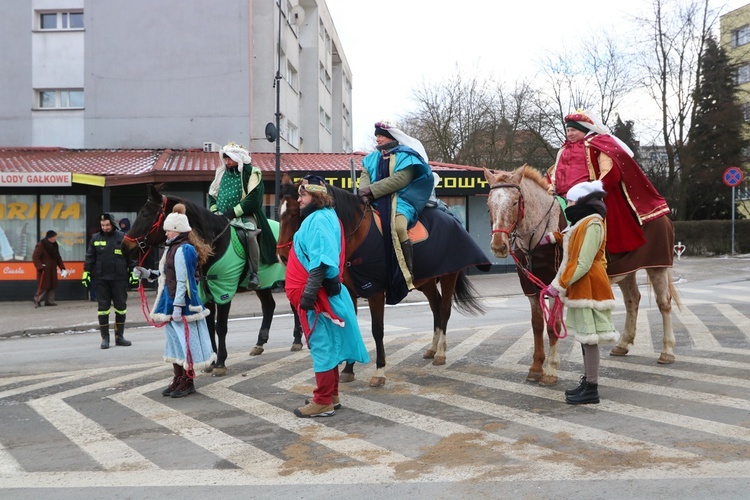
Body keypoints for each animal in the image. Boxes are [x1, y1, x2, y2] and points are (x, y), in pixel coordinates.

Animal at [123, 184, 300, 376]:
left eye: (146, 214)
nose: (124, 247)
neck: (213, 244)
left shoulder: (223, 291)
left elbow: (220, 326)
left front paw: (221, 362)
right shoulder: (206, 293)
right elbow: (209, 326)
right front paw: (211, 361)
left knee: (294, 306)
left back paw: (297, 340)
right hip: (263, 285)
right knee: (269, 306)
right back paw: (259, 343)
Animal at [278, 179, 494, 386]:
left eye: (296, 211)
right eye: (279, 213)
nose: (282, 256)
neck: (356, 234)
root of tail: (452, 218)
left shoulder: (375, 291)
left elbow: (377, 330)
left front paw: (379, 372)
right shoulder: (350, 290)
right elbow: (351, 325)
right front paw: (348, 369)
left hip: (449, 275)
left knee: (444, 309)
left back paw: (440, 353)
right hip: (427, 282)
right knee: (435, 307)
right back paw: (432, 349)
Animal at [484, 166, 684, 384]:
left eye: (514, 202)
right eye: (489, 205)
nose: (498, 246)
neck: (538, 235)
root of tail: (663, 216)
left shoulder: (555, 286)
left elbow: (553, 326)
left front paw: (551, 370)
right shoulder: (531, 290)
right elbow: (537, 325)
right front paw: (536, 367)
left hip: (657, 267)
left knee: (664, 304)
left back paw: (667, 351)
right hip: (626, 271)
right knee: (633, 299)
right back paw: (623, 344)